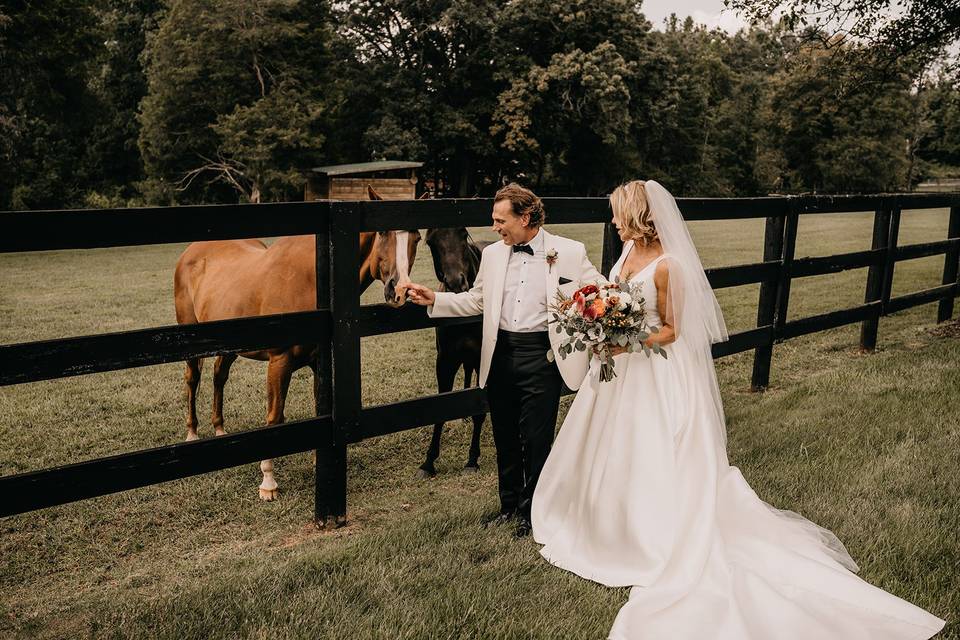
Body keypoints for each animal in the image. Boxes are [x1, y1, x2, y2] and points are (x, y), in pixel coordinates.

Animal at [174, 185, 422, 500]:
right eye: (381, 232)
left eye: (417, 238)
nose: (399, 291)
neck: (313, 279)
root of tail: (191, 251)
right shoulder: (279, 361)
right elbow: (274, 418)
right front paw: (268, 482)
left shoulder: (319, 363)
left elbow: (319, 408)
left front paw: (319, 460)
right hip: (191, 339)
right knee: (193, 379)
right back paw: (192, 433)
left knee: (219, 376)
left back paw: (219, 430)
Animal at [418, 228, 492, 478]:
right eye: (431, 242)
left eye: (462, 233)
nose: (456, 283)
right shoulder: (445, 361)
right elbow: (442, 407)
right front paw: (428, 462)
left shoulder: (483, 359)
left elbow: (480, 408)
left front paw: (472, 460)